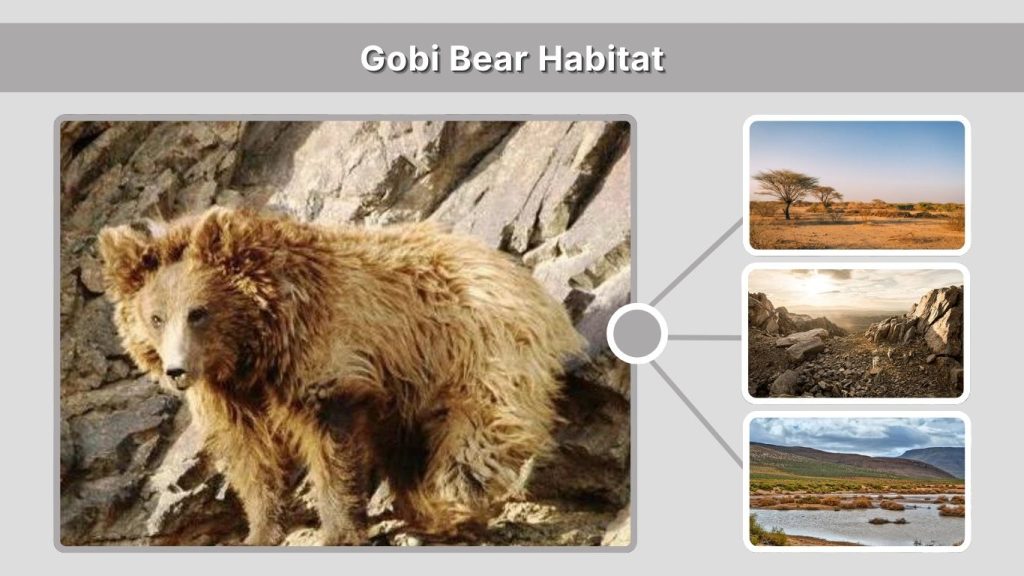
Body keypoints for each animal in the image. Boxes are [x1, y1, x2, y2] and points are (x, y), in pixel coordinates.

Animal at [97, 207, 584, 545]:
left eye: (198, 312)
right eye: (156, 317)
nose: (177, 370)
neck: (255, 348)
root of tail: (508, 266)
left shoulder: (323, 355)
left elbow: (333, 447)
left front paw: (339, 529)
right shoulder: (230, 394)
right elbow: (249, 456)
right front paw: (259, 530)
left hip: (472, 345)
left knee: (482, 422)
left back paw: (455, 503)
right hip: (411, 386)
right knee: (406, 447)